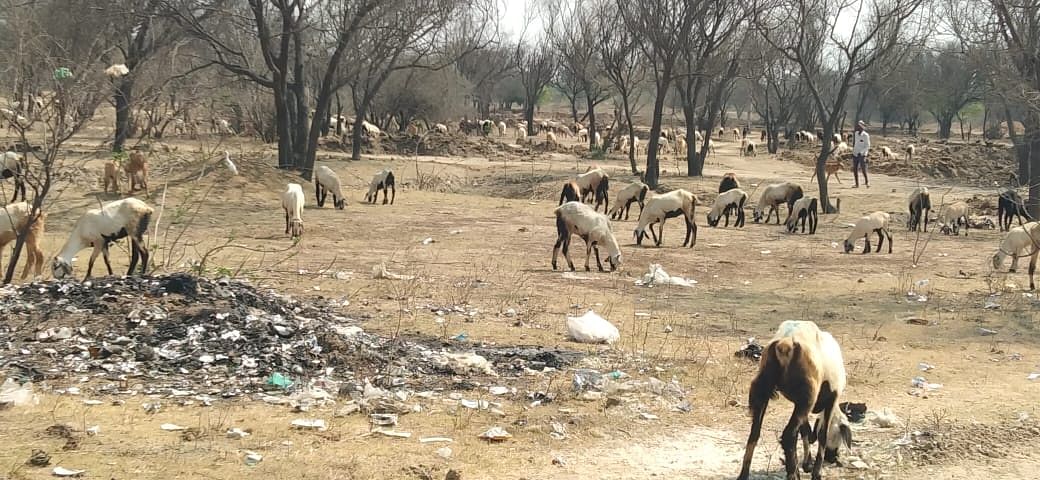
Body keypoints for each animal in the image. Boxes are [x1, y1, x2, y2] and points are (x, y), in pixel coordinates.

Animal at [736, 317, 848, 480]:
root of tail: (785, 343)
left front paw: (806, 464)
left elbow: (805, 430)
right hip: (807, 396)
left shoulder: (799, 403)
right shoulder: (830, 399)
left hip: (764, 390)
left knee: (754, 434)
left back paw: (744, 475)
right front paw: (816, 472)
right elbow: (822, 435)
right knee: (788, 436)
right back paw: (793, 474)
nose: (833, 458)